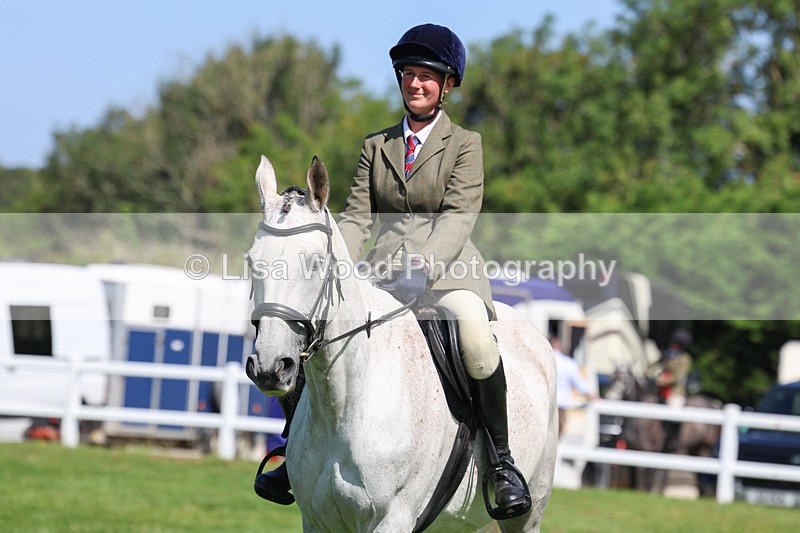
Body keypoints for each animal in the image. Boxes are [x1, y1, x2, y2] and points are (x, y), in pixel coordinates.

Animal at [244, 155, 557, 532]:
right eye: (252, 261)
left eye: (316, 262)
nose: (270, 367)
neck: (346, 403)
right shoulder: (317, 522)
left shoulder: (391, 520)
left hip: (530, 508)